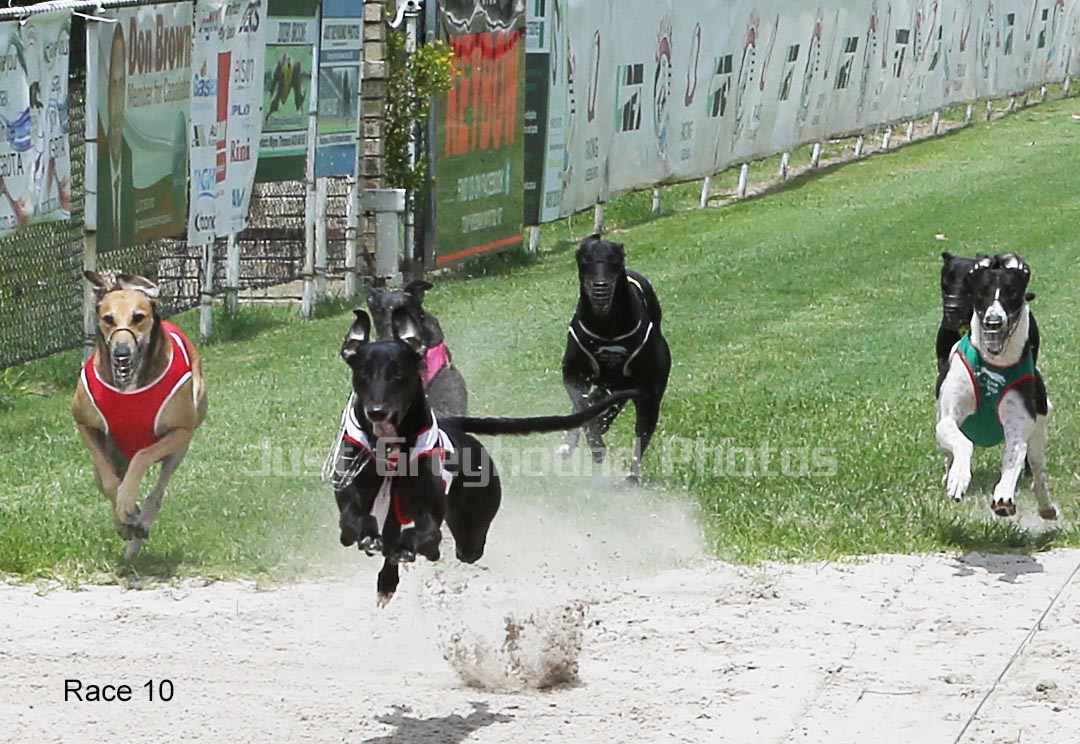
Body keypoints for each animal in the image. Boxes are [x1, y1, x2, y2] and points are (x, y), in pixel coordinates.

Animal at [71, 271, 208, 558]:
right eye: (108, 318)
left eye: (138, 317)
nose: (121, 354)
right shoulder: (85, 425)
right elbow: (111, 483)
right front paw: (124, 514)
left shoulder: (180, 431)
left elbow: (143, 457)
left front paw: (129, 507)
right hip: (112, 454)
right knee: (108, 479)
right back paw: (129, 524)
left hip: (179, 447)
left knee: (157, 491)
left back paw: (140, 525)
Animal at [326, 308, 638, 604]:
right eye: (363, 372)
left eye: (399, 372)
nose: (377, 412)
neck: (390, 454)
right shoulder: (351, 497)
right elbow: (351, 523)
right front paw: (368, 535)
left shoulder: (428, 517)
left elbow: (423, 534)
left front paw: (405, 547)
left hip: (471, 530)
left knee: (454, 548)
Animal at [558, 234, 670, 482]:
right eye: (585, 259)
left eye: (615, 260)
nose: (601, 286)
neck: (607, 326)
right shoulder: (574, 374)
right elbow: (581, 405)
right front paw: (596, 443)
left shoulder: (639, 385)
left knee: (640, 428)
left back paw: (632, 476)